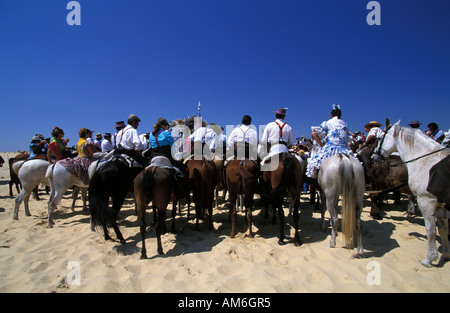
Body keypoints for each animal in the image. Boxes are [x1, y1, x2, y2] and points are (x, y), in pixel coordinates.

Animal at [372, 117, 450, 266]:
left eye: (379, 138)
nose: (374, 155)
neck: (425, 161)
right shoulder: (437, 204)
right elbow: (440, 230)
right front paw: (440, 256)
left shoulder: (428, 201)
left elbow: (432, 230)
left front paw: (431, 258)